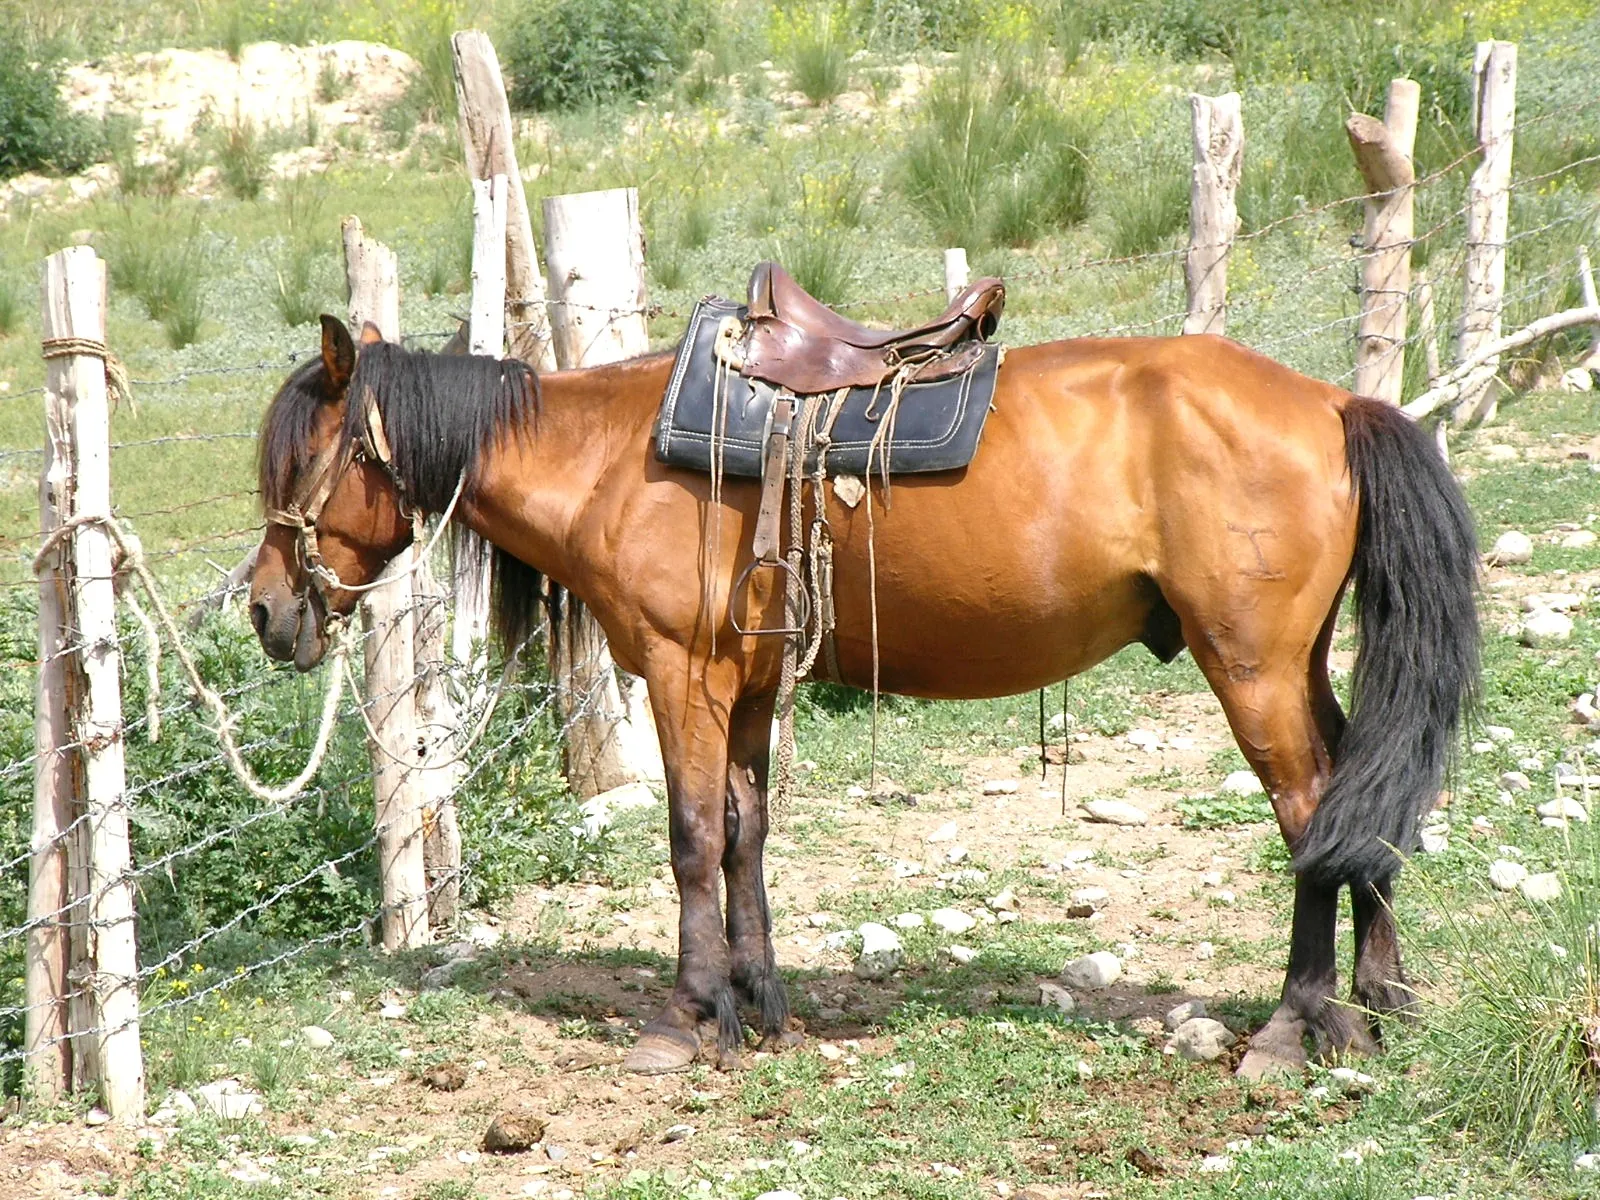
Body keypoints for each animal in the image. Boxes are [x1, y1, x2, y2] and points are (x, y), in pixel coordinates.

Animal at [248, 313, 1478, 1080]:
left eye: (296, 463)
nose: (264, 613)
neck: (607, 458)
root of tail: (1332, 404)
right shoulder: (743, 685)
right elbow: (743, 833)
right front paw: (755, 1004)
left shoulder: (684, 677)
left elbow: (690, 840)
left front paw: (685, 1019)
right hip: (1295, 666)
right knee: (1356, 800)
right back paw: (1375, 999)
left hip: (1252, 668)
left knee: (1311, 814)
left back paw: (1293, 1024)